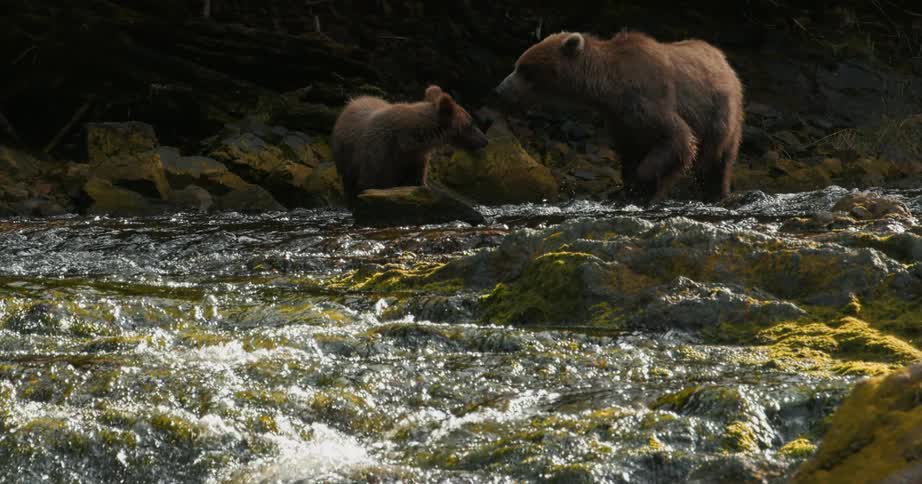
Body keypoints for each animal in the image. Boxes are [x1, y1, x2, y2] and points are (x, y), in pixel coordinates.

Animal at [331, 85, 489, 207]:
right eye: (471, 123)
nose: (485, 140)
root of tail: (355, 100)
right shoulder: (380, 154)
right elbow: (373, 183)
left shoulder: (414, 160)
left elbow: (415, 182)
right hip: (346, 159)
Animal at [494, 31, 744, 202]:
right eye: (518, 65)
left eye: (525, 69)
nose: (499, 90)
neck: (610, 88)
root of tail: (725, 61)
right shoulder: (620, 120)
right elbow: (629, 152)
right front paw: (630, 188)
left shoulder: (647, 100)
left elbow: (677, 139)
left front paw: (643, 184)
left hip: (722, 113)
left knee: (718, 160)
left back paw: (717, 192)